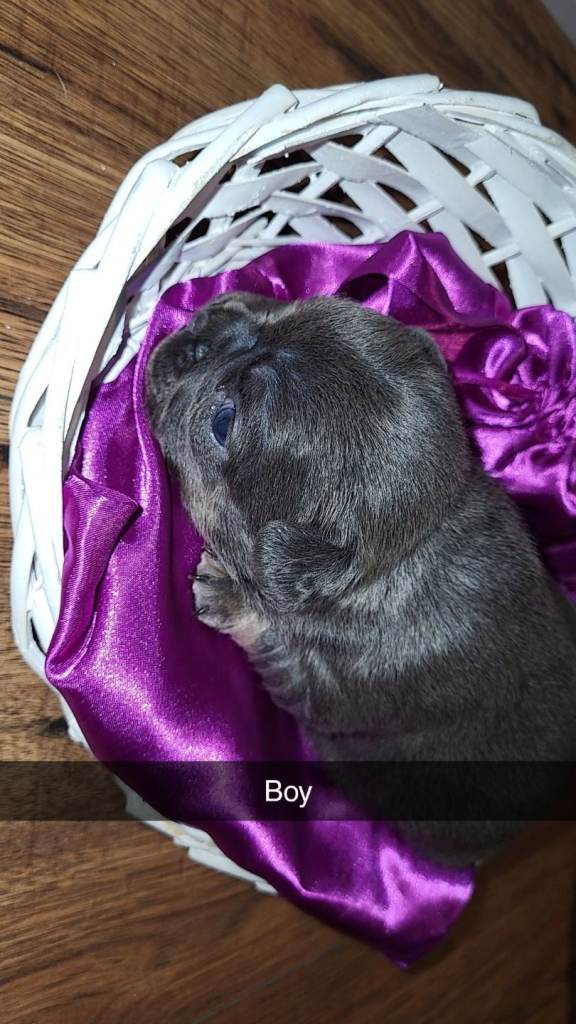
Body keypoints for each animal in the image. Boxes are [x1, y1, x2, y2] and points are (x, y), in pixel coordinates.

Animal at [146, 291, 576, 865]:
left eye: (223, 421)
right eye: (287, 309)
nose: (201, 326)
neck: (412, 540)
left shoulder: (323, 689)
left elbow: (273, 639)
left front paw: (232, 595)